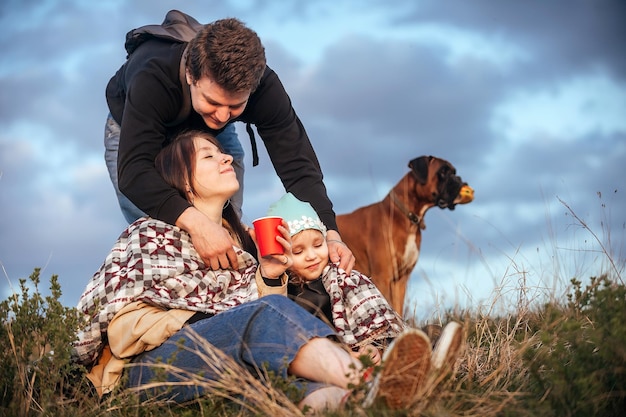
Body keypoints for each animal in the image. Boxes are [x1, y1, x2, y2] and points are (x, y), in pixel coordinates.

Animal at [334, 155, 470, 316]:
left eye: (454, 172)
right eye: (443, 172)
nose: (459, 179)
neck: (407, 218)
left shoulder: (400, 280)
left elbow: (398, 308)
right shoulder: (382, 277)